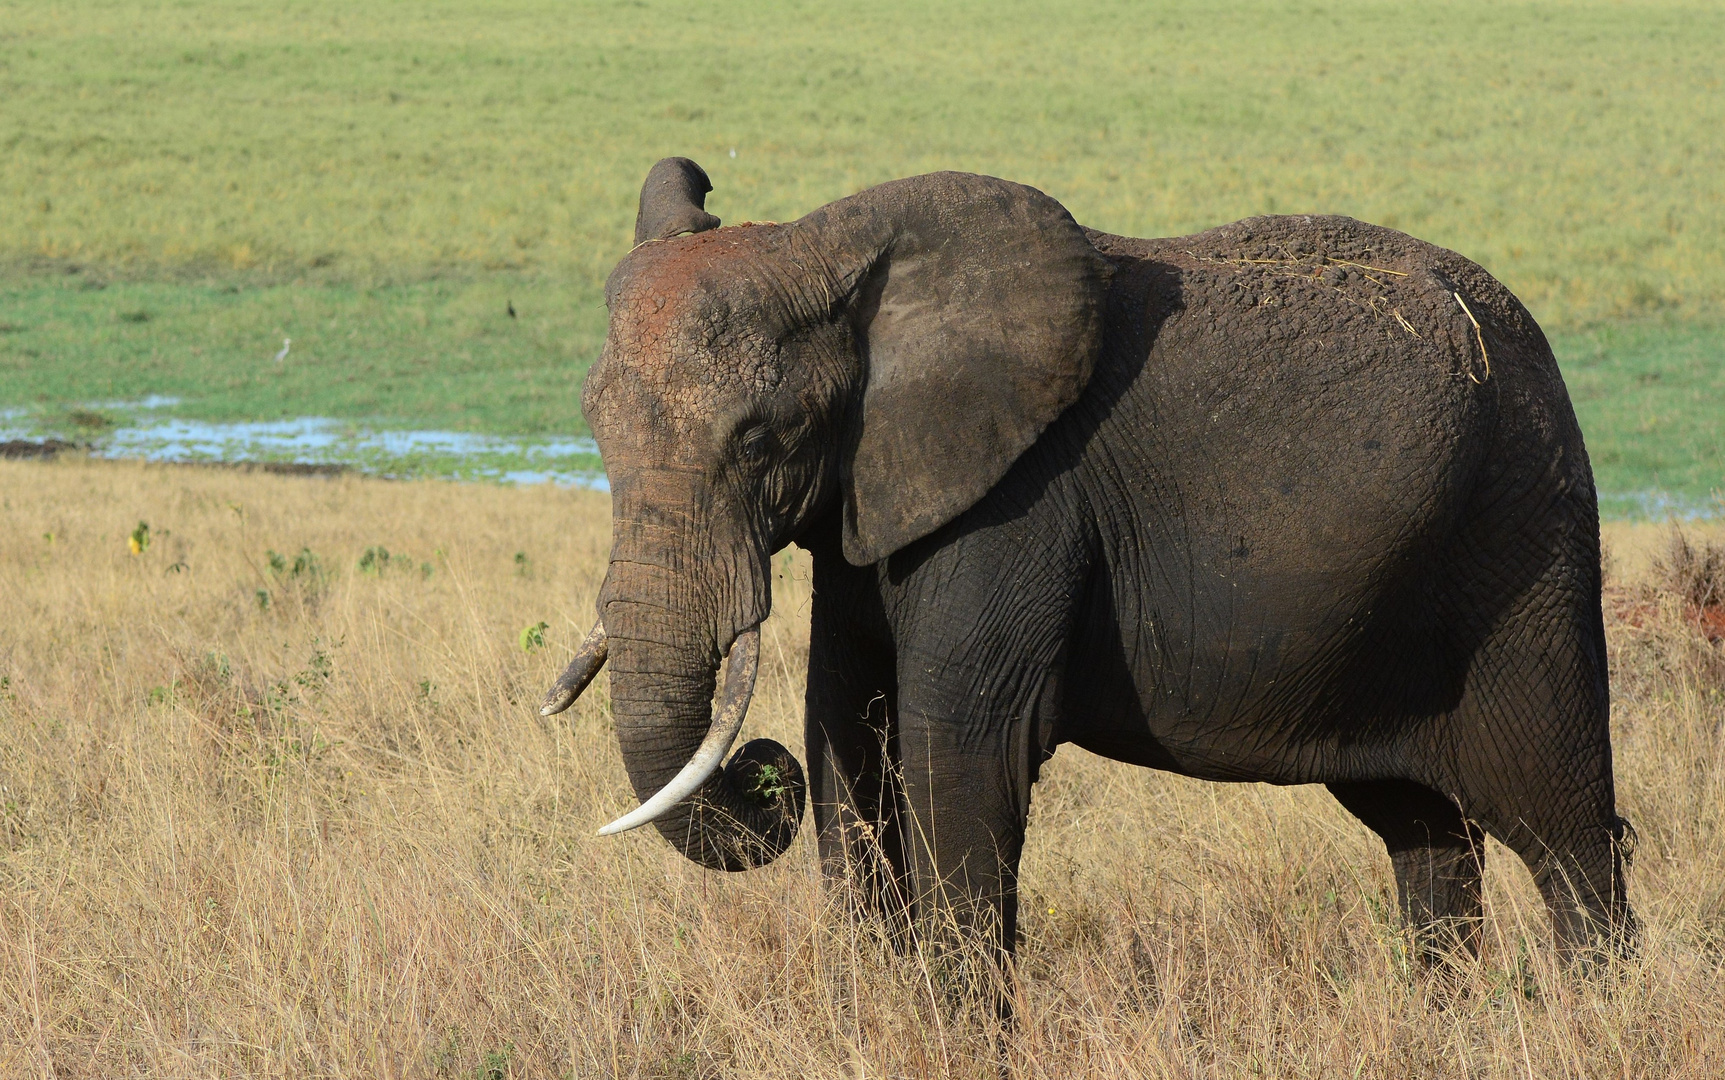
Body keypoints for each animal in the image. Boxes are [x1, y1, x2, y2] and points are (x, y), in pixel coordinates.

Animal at [538, 153, 1628, 966]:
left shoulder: (1022, 501)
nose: (756, 775)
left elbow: (959, 746)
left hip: (1522, 541)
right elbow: (846, 734)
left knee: (1565, 828)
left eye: (761, 439)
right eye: (590, 425)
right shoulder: (878, 490)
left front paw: (956, 1031)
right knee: (1424, 833)